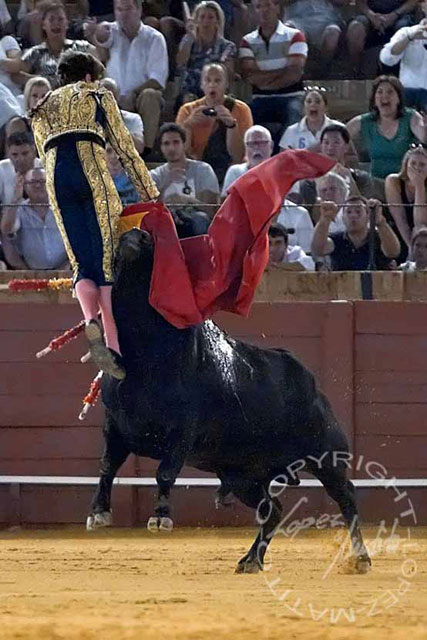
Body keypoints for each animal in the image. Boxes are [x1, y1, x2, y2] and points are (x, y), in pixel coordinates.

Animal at [88, 230, 372, 576]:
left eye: (153, 244)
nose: (134, 235)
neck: (145, 356)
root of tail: (309, 381)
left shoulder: (183, 432)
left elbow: (165, 472)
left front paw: (160, 517)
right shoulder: (115, 425)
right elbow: (107, 466)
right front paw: (98, 513)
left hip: (326, 455)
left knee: (346, 497)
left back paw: (361, 558)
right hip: (242, 477)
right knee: (274, 510)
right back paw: (251, 560)